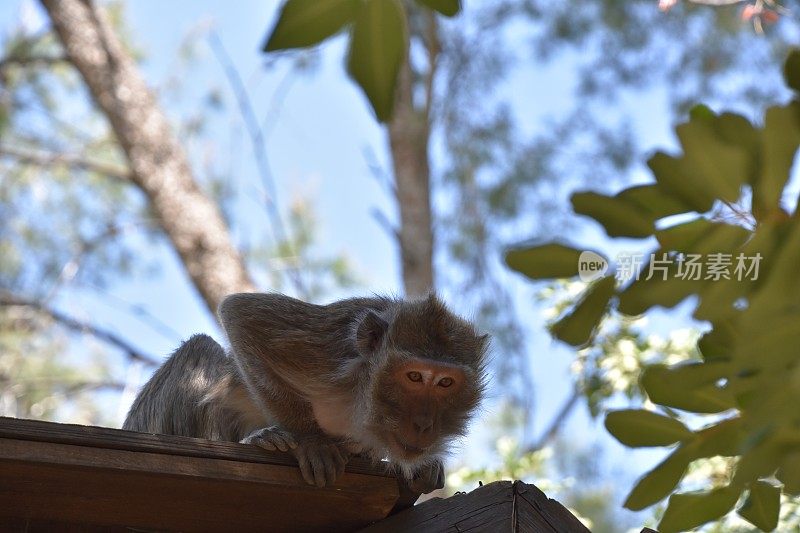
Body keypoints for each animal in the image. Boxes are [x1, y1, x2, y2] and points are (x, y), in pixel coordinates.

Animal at [124, 294, 488, 492]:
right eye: (414, 376)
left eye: (445, 383)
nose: (424, 424)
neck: (360, 400)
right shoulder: (330, 347)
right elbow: (242, 313)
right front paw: (311, 441)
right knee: (202, 348)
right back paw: (262, 438)